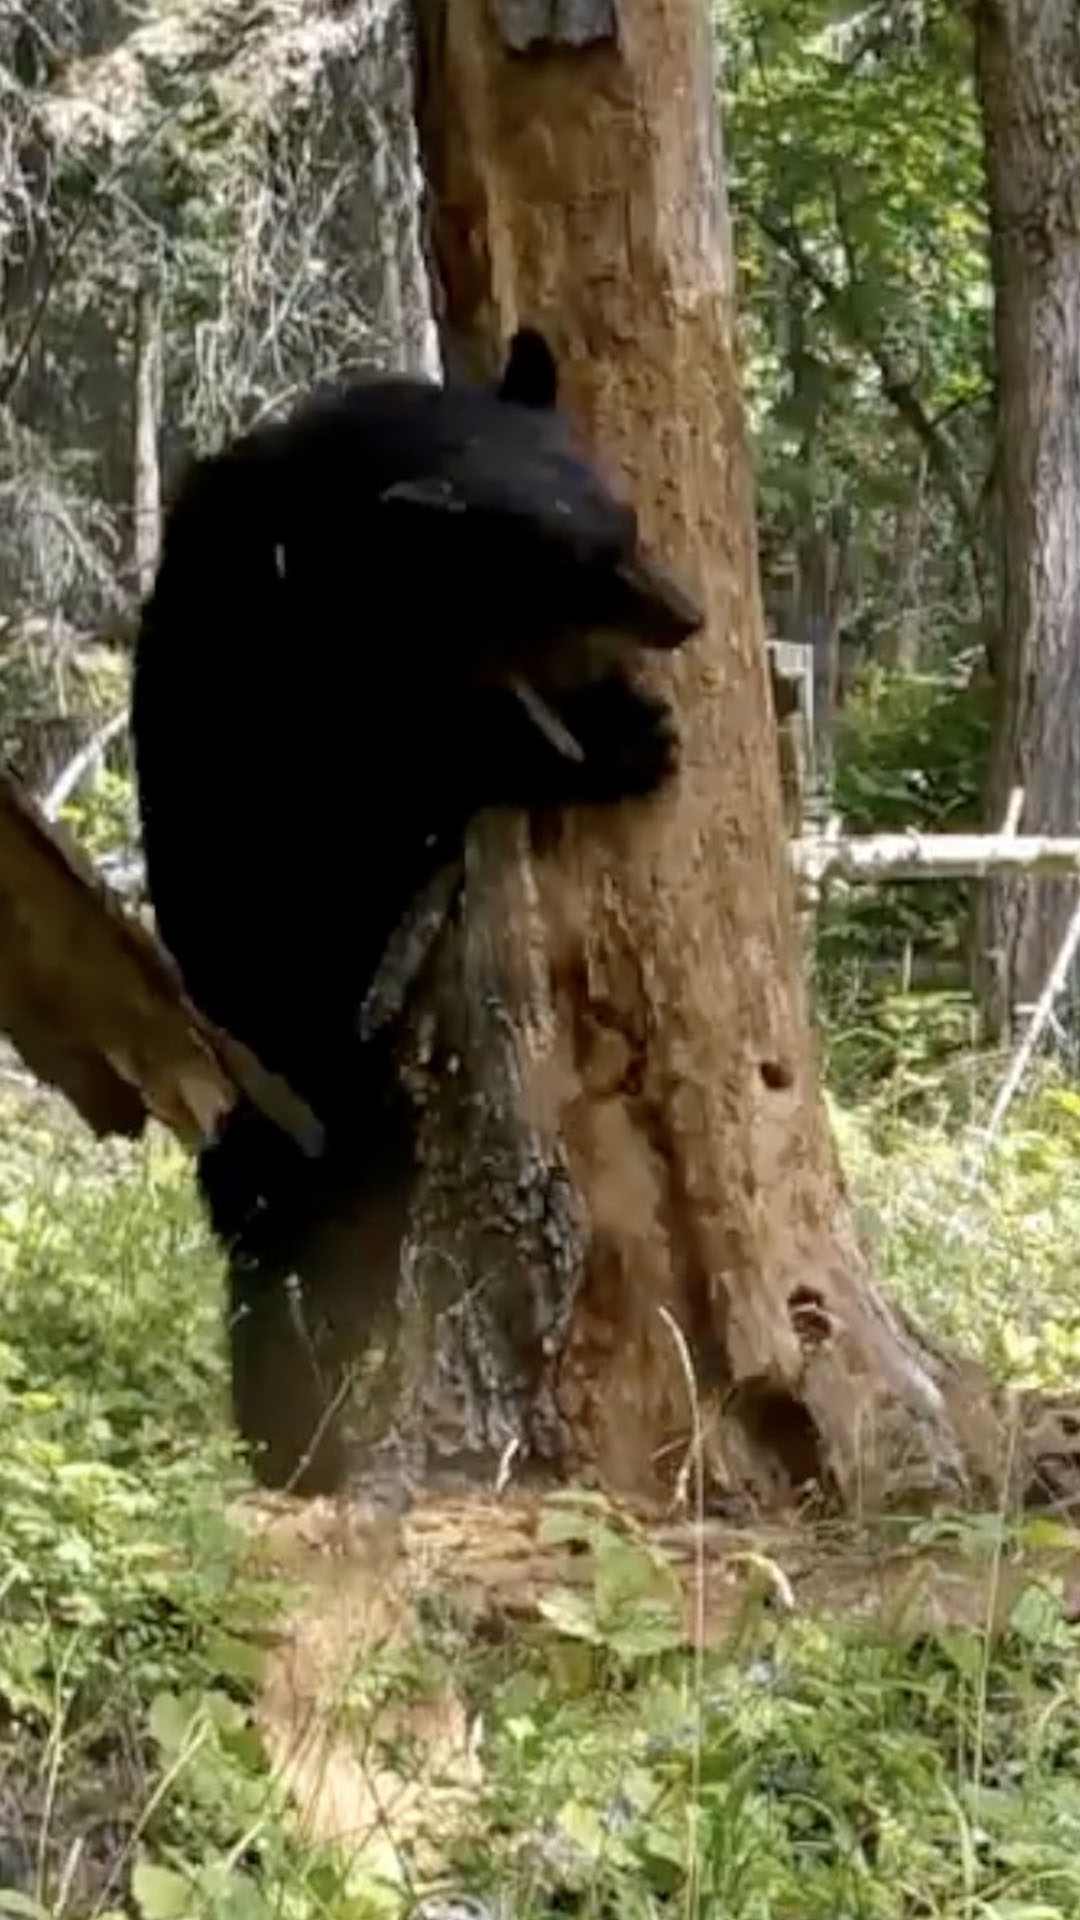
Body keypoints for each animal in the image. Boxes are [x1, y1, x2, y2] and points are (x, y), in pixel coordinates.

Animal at [130, 330, 699, 1259]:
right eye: (584, 566)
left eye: (629, 524)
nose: (688, 614)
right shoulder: (300, 665)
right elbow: (412, 758)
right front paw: (624, 738)